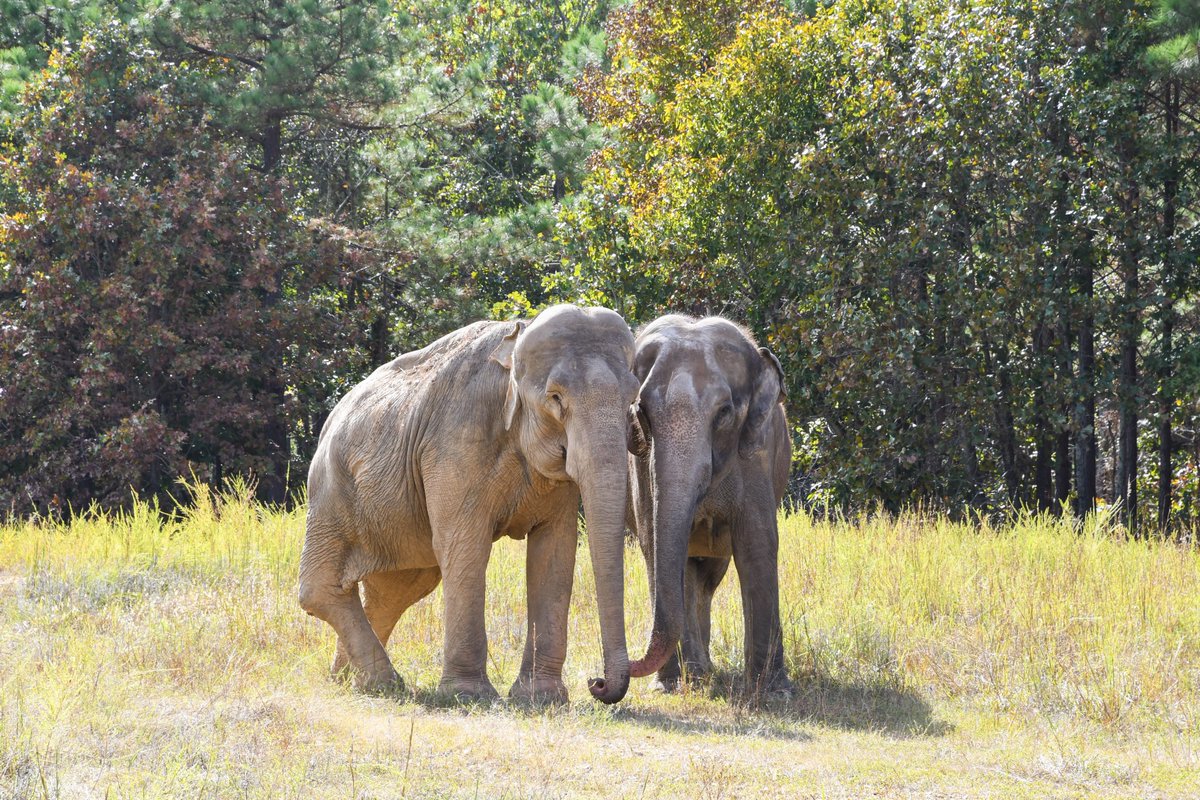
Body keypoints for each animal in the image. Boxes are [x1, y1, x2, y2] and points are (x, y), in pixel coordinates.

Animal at [299, 304, 641, 705]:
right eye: (555, 398)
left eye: (633, 397)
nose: (596, 683)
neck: (514, 342)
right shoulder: (455, 443)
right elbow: (467, 546)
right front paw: (469, 696)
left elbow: (554, 552)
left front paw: (542, 699)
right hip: (331, 495)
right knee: (323, 590)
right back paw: (385, 683)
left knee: (396, 591)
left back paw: (350, 681)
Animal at [626, 314, 793, 696]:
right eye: (642, 411)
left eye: (724, 413)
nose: (597, 680)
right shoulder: (641, 465)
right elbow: (653, 544)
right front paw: (666, 688)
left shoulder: (757, 455)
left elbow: (757, 545)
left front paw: (774, 692)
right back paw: (697, 674)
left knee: (707, 577)